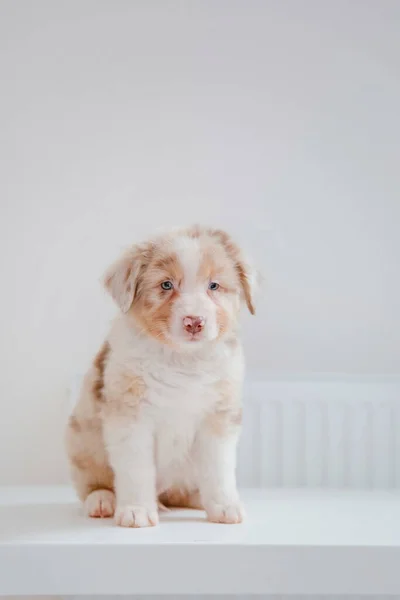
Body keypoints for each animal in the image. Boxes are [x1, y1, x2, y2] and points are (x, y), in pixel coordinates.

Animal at [66, 227, 256, 528]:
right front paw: (136, 510)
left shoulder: (219, 418)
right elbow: (136, 469)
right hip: (83, 440)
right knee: (93, 483)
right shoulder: (130, 417)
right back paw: (103, 500)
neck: (182, 359)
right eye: (166, 285)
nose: (194, 321)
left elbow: (219, 468)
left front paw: (225, 506)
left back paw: (196, 499)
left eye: (214, 286)